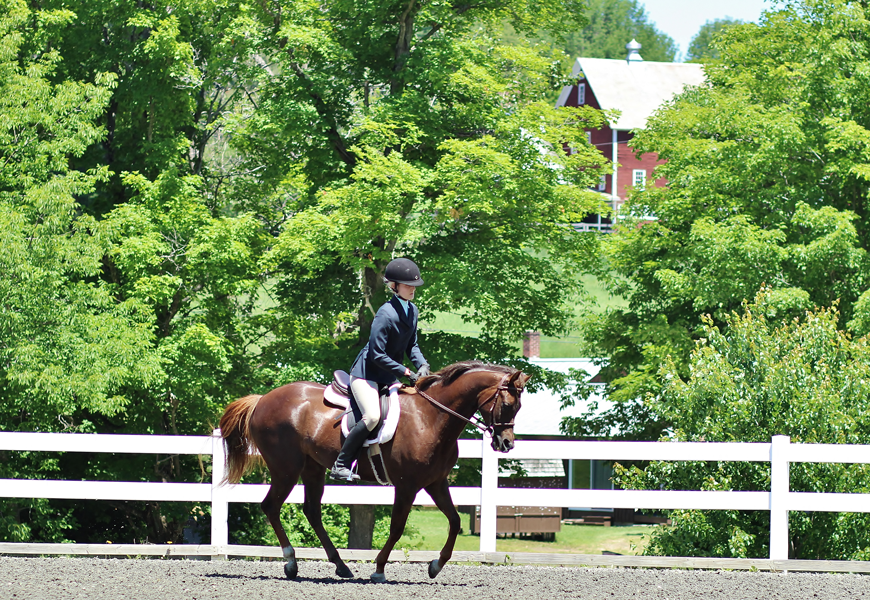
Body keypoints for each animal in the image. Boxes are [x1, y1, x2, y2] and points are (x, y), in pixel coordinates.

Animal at [221, 360, 528, 580]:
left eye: (519, 406)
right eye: (507, 405)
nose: (506, 444)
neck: (432, 418)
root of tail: (262, 399)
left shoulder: (436, 482)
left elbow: (454, 520)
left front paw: (436, 565)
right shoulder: (407, 485)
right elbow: (397, 527)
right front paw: (379, 568)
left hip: (312, 468)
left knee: (311, 511)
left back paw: (340, 566)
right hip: (286, 468)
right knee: (271, 506)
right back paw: (291, 563)